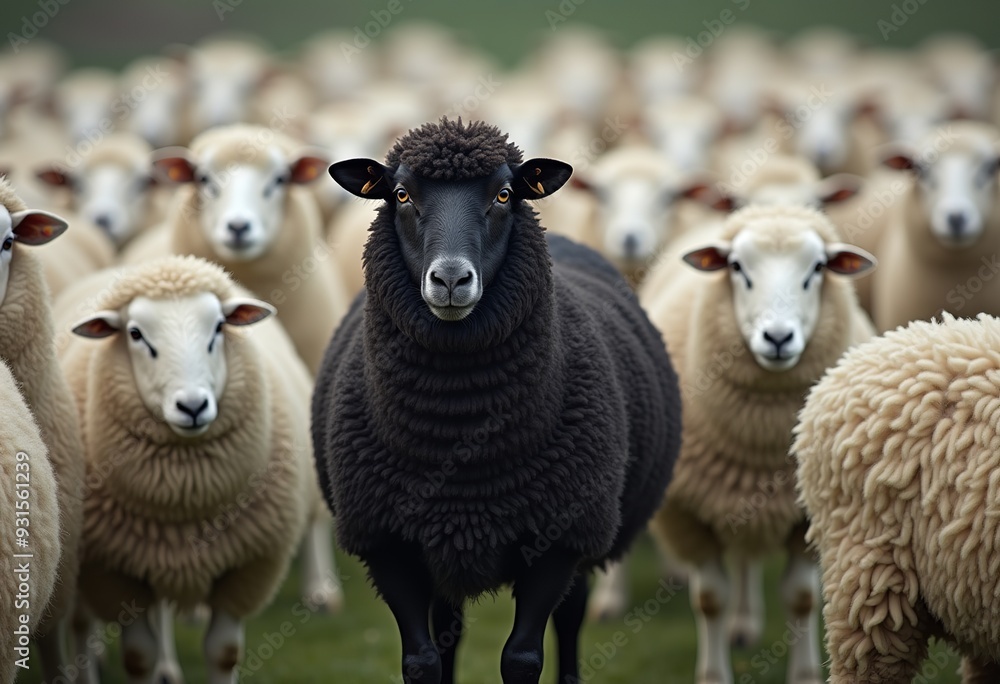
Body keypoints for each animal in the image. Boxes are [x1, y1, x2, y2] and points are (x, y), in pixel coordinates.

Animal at [59, 255, 318, 683]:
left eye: (219, 327)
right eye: (135, 334)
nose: (193, 406)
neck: (184, 500)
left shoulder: (245, 569)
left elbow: (224, 652)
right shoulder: (115, 572)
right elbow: (138, 657)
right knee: (81, 623)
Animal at [315, 118, 681, 684]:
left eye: (504, 194)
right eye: (401, 194)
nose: (450, 279)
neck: (459, 435)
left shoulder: (559, 538)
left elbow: (523, 658)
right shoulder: (388, 542)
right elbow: (422, 660)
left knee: (571, 618)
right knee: (449, 627)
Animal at [640, 203, 876, 684]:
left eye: (818, 268)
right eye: (736, 267)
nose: (779, 338)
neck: (760, 447)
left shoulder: (806, 515)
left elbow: (802, 597)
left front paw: (804, 675)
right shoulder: (688, 514)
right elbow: (710, 599)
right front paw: (714, 675)